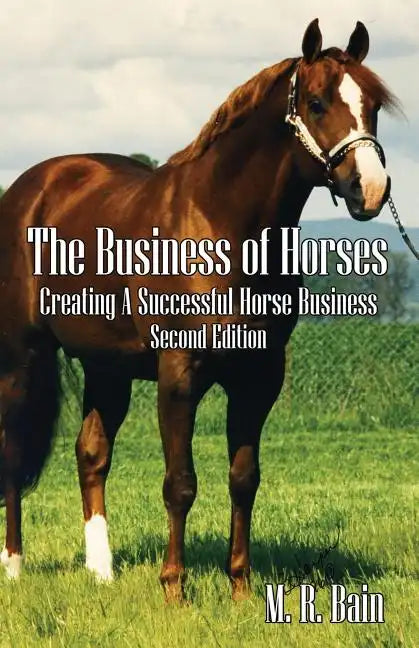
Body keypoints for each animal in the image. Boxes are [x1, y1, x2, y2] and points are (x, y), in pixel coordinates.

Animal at [0, 19, 398, 601]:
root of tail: (30, 189)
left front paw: (241, 589)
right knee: (12, 449)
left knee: (91, 453)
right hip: (22, 356)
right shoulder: (179, 374)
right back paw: (14, 565)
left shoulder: (259, 376)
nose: (369, 188)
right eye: (318, 103)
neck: (222, 225)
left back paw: (102, 572)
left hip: (106, 368)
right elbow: (180, 483)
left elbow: (244, 479)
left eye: (373, 105)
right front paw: (174, 589)